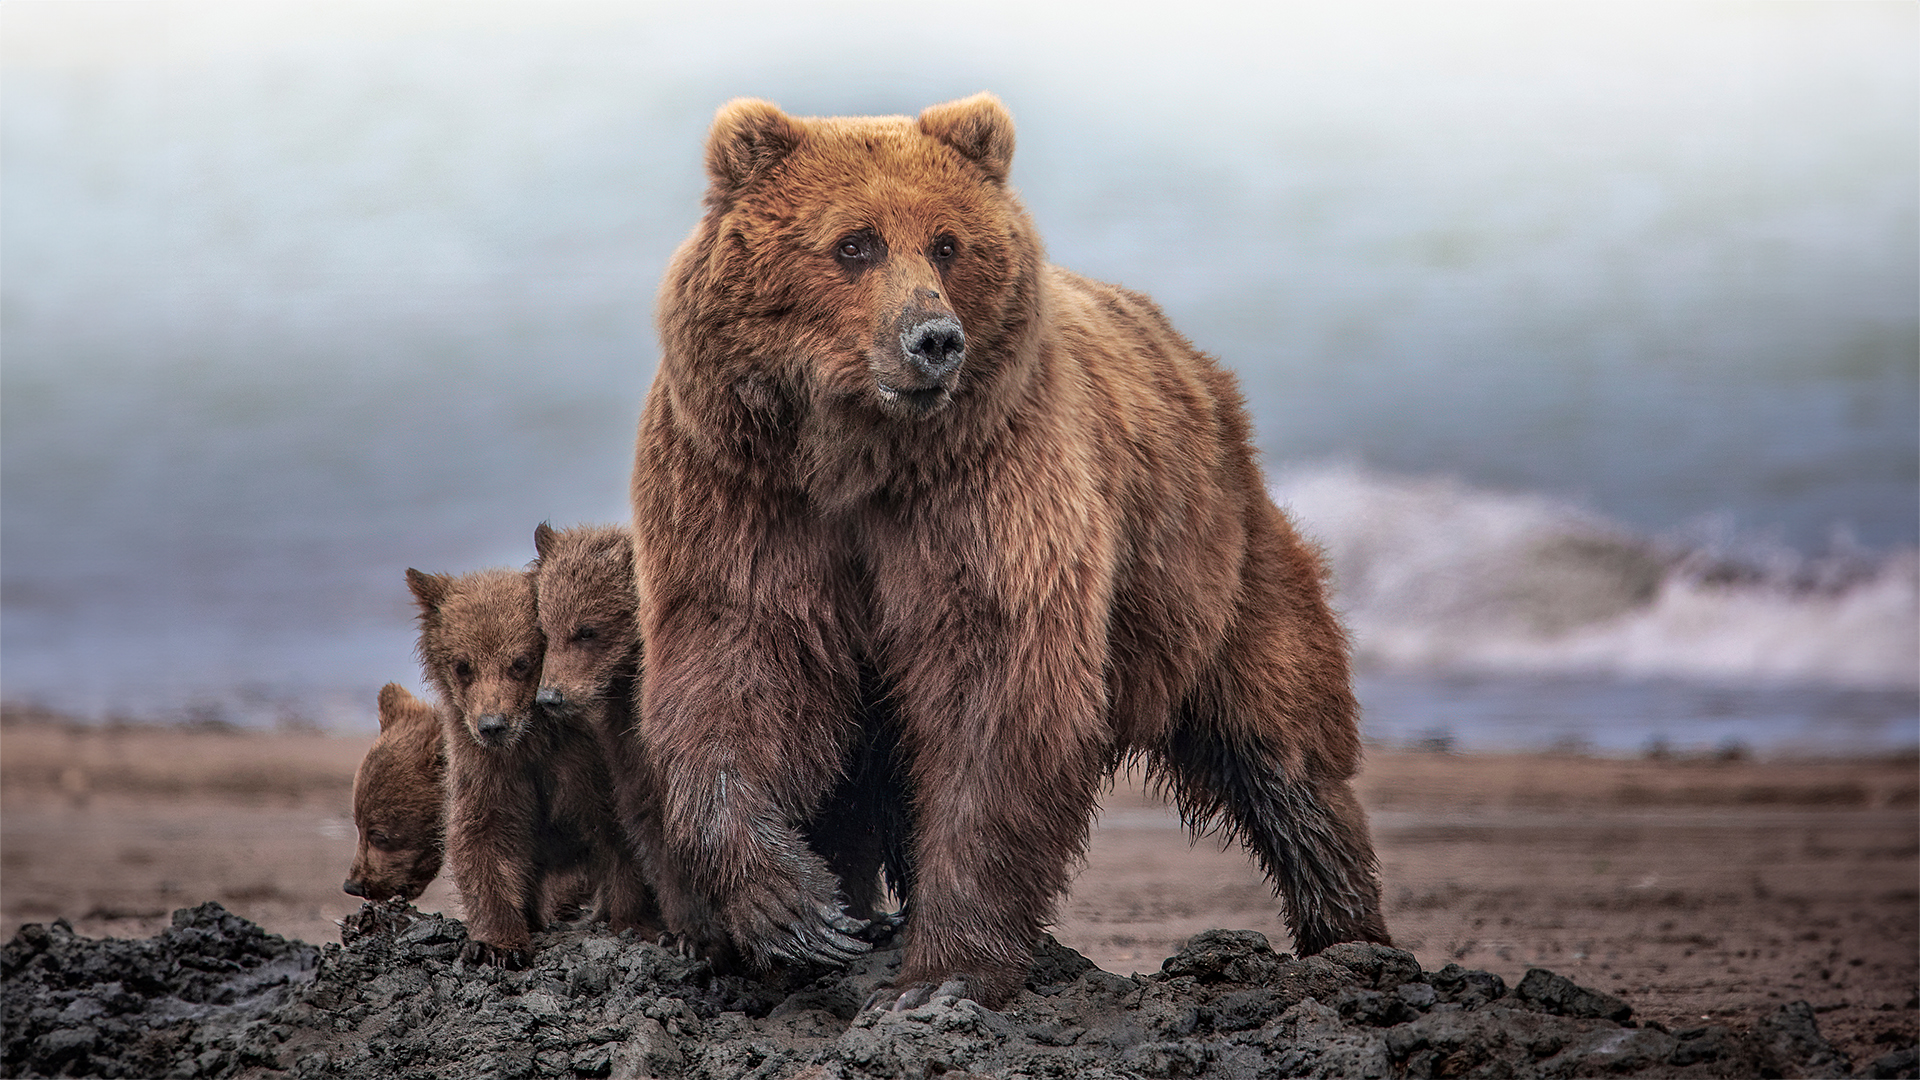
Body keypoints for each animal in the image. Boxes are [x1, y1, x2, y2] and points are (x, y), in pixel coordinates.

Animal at [405, 565, 659, 966]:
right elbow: (484, 837)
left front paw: (632, 922)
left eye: (520, 662)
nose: (493, 725)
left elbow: (621, 836)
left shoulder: (585, 762)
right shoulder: (489, 768)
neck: (532, 738)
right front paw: (498, 944)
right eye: (463, 666)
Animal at [630, 93, 1390, 1011]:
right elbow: (736, 667)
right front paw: (799, 912)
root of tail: (1201, 367)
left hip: (1210, 561)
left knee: (1283, 745)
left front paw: (941, 974)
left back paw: (1348, 934)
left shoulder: (986, 489)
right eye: (855, 242)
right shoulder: (745, 493)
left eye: (947, 243)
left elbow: (995, 691)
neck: (856, 457)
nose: (933, 339)